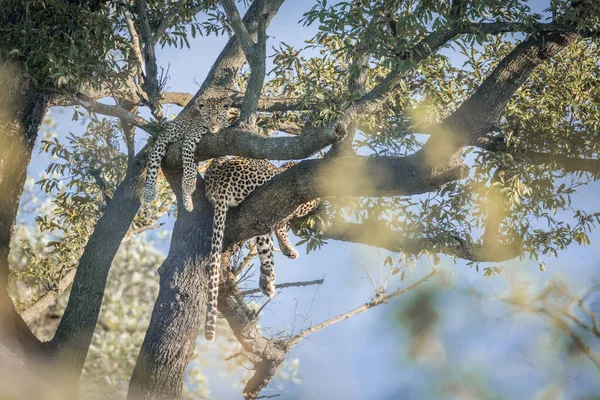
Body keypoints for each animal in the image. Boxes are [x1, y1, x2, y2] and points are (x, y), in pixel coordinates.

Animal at [204, 156, 318, 340]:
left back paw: (267, 279)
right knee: (274, 227)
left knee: (265, 244)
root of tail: (221, 177)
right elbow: (284, 224)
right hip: (266, 191)